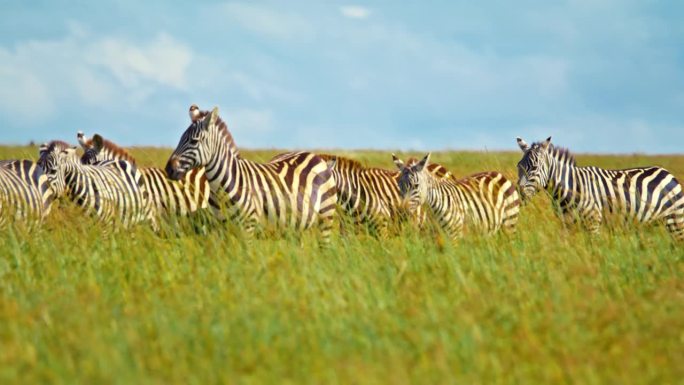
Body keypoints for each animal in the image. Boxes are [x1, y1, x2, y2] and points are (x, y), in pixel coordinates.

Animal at [166, 105, 336, 243]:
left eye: (194, 141)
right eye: (180, 139)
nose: (168, 169)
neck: (220, 187)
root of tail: (314, 155)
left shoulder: (248, 227)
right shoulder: (221, 229)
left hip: (325, 219)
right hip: (297, 226)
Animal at [516, 134, 680, 237]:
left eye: (534, 167)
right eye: (519, 166)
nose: (519, 194)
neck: (570, 189)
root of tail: (666, 172)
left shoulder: (593, 222)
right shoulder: (567, 223)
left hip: (675, 220)